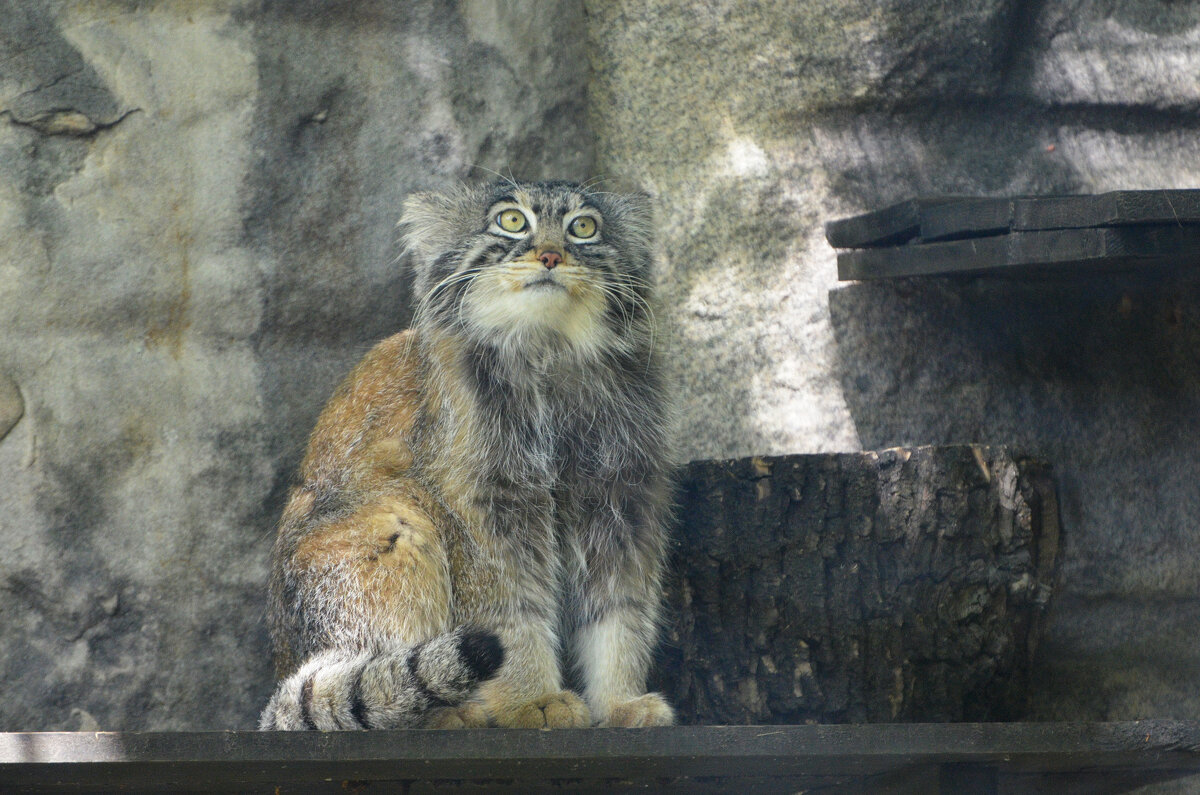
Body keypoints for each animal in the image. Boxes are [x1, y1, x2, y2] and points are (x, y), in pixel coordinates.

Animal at [260, 178, 676, 730]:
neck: (548, 352)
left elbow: (619, 609)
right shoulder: (484, 504)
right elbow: (511, 610)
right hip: (391, 520)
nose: (550, 255)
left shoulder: (621, 499)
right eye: (511, 221)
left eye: (584, 227)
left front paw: (620, 703)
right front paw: (530, 701)